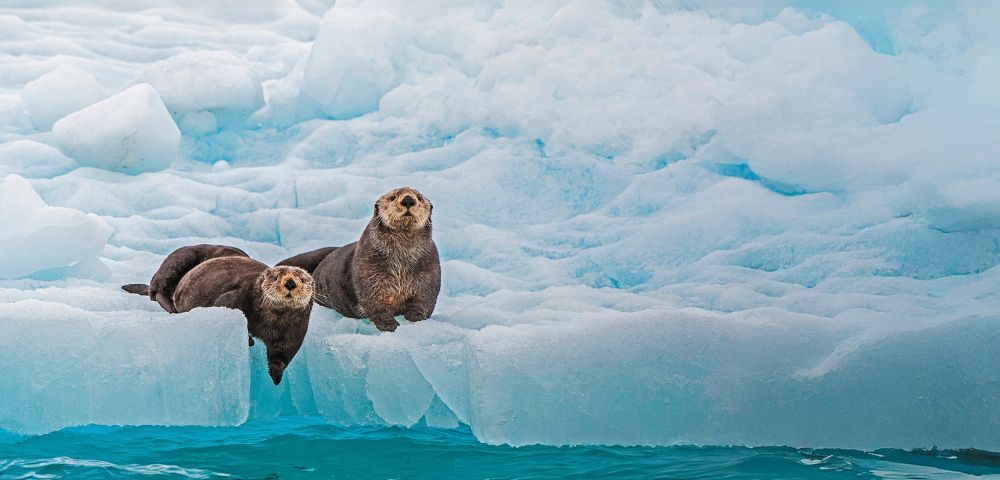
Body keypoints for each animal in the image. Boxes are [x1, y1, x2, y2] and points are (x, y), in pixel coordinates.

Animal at [122, 245, 314, 385]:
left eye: (303, 279)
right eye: (275, 277)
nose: (290, 283)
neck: (272, 321)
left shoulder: (293, 332)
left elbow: (282, 355)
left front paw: (276, 377)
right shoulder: (237, 297)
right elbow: (223, 304)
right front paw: (249, 341)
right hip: (179, 259)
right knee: (157, 290)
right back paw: (171, 305)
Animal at [278, 187, 441, 332]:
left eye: (419, 197)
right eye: (392, 197)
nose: (408, 199)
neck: (401, 259)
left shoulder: (429, 268)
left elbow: (425, 297)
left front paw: (416, 316)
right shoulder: (369, 267)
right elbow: (374, 299)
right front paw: (388, 324)